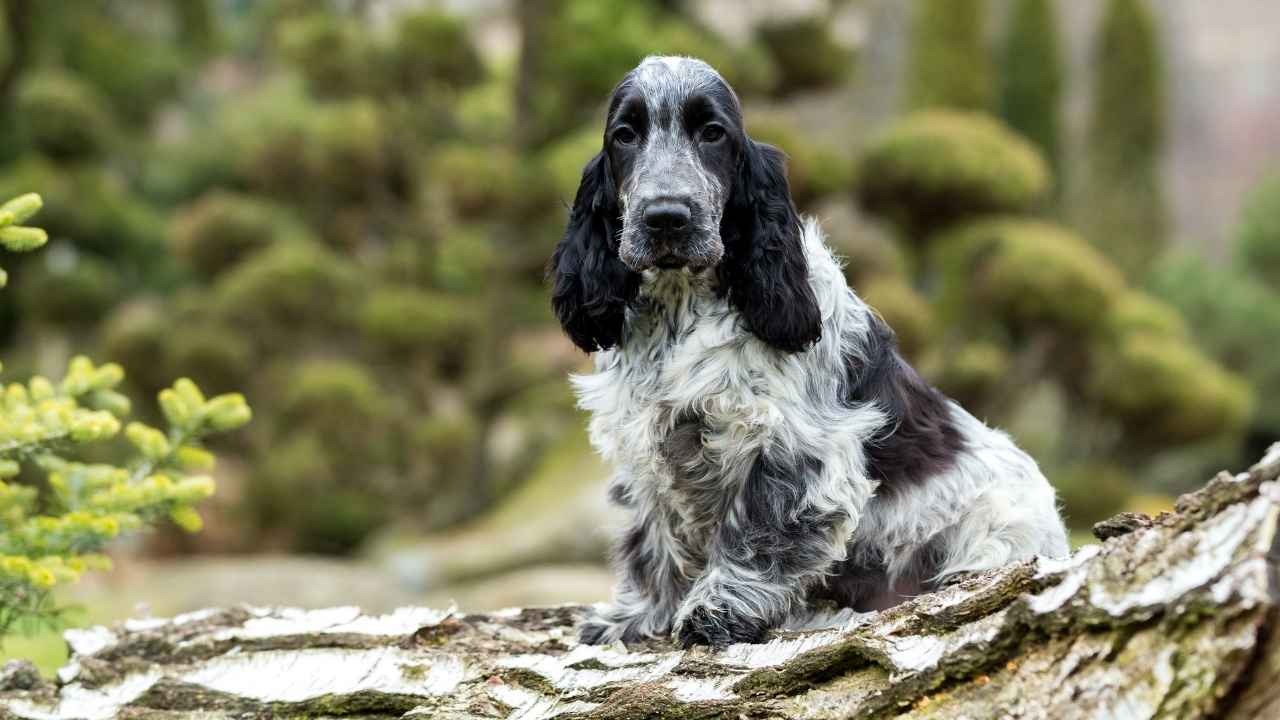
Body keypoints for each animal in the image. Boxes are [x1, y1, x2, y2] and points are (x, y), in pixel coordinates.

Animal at [545, 56, 1064, 645]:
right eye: (625, 135)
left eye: (713, 133)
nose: (666, 217)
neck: (682, 307)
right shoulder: (648, 444)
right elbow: (655, 540)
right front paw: (635, 617)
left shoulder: (794, 445)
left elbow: (759, 530)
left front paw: (716, 611)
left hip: (998, 522)